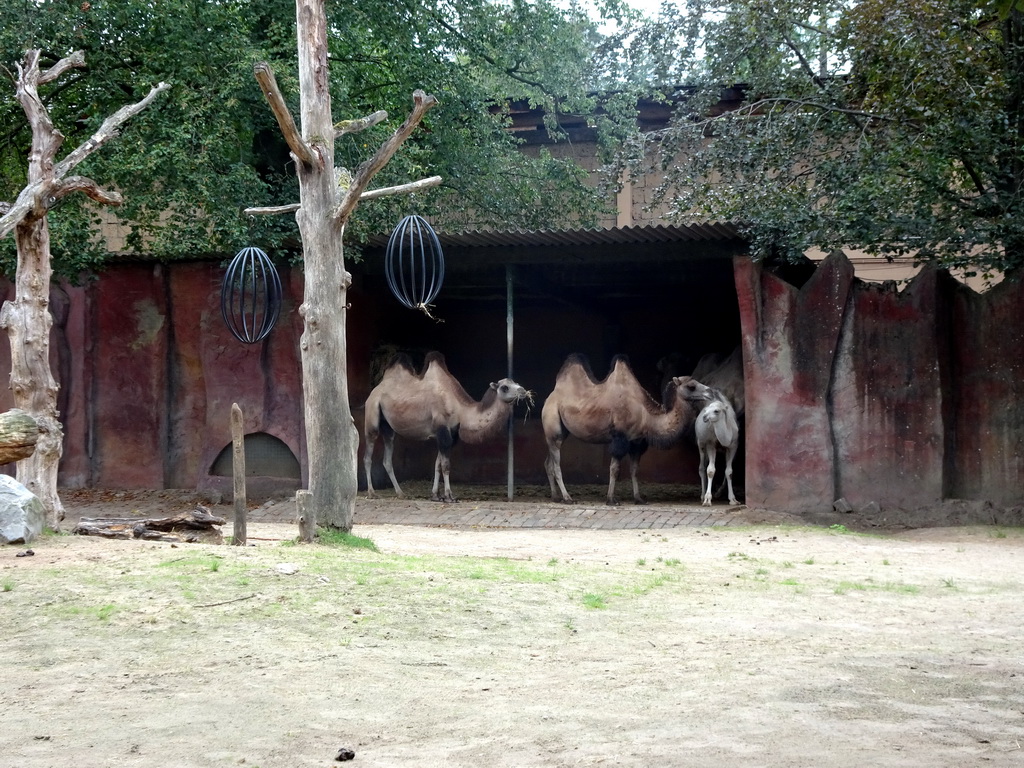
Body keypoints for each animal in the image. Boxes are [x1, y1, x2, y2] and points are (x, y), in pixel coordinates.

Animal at [364, 350, 532, 505]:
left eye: (515, 382)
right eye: (504, 387)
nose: (523, 391)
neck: (461, 409)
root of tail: (375, 389)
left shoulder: (451, 434)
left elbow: (437, 465)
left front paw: (436, 496)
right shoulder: (442, 430)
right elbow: (445, 465)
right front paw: (450, 497)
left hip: (388, 427)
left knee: (387, 458)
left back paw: (400, 493)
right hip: (372, 415)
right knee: (368, 454)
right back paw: (372, 493)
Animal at [540, 356, 716, 512]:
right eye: (691, 386)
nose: (710, 392)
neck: (646, 415)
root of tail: (550, 396)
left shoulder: (636, 442)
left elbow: (634, 469)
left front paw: (639, 498)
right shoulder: (620, 438)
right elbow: (614, 469)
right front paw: (611, 499)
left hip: (561, 433)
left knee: (548, 462)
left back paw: (555, 497)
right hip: (552, 422)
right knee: (556, 463)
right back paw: (567, 498)